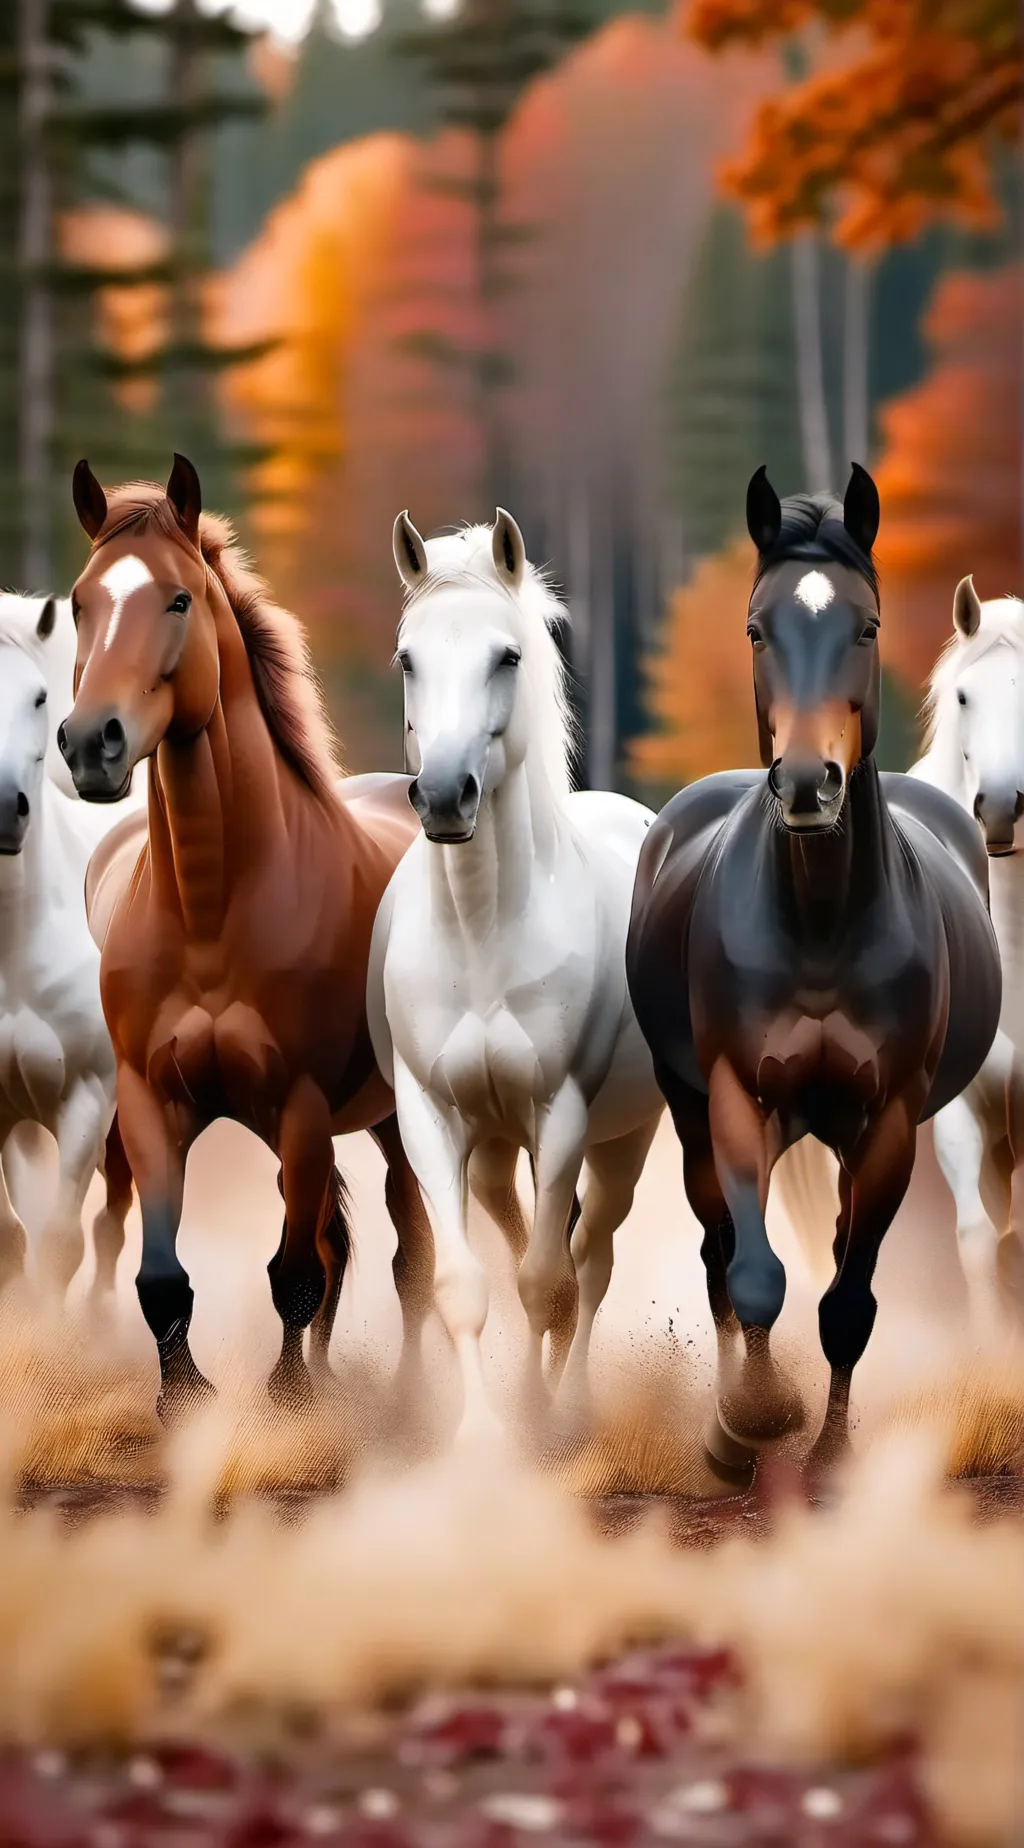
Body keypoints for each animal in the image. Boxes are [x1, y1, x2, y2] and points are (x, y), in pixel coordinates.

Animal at [58, 455, 434, 1418]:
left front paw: (290, 1400)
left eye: (179, 599)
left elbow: (295, 1272)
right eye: (79, 602)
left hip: (395, 1121)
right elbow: (162, 1276)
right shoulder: (151, 1106)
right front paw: (183, 1399)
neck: (211, 912)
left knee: (411, 1252)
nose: (90, 743)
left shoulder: (299, 1108)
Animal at [366, 510, 664, 1441]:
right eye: (407, 658)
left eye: (508, 656)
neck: (482, 938)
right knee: (525, 1226)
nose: (443, 797)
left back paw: (572, 1398)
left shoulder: (561, 1116)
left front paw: (542, 1421)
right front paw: (480, 1437)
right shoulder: (428, 1117)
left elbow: (548, 1284)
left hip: (623, 1139)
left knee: (591, 1258)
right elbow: (466, 1284)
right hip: (495, 1145)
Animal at [625, 464, 1001, 1481]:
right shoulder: (732, 1095)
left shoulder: (892, 1117)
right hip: (693, 1110)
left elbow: (849, 1298)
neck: (823, 924)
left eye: (866, 626)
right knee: (719, 1251)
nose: (805, 783)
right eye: (759, 627)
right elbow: (753, 1273)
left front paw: (831, 1449)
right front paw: (753, 1419)